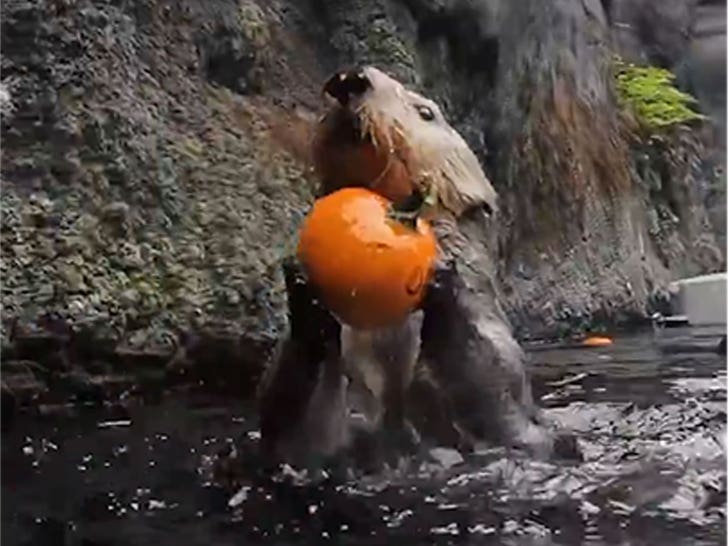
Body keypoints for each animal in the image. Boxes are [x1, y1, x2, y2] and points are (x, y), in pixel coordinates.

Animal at [257, 67, 577, 469]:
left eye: (425, 112)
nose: (353, 78)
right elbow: (301, 436)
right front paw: (304, 287)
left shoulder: (504, 385)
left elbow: (499, 400)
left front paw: (444, 276)